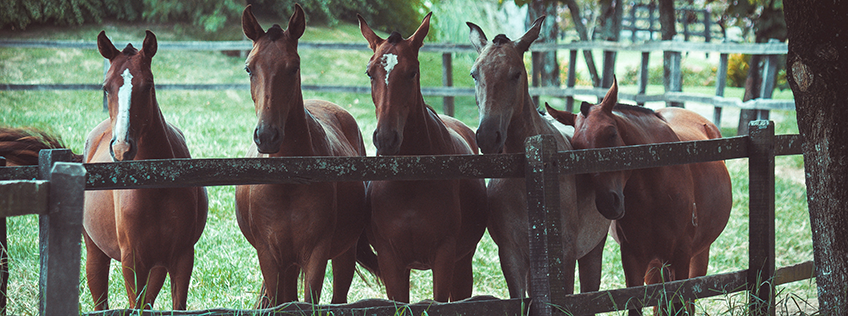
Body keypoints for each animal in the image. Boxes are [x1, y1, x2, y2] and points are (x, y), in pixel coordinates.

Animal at [82, 30, 209, 310]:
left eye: (148, 85)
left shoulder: (181, 257)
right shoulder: (133, 261)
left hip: (157, 266)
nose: (121, 148)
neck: (157, 184)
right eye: (105, 87)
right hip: (95, 254)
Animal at [234, 4, 370, 306]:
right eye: (249, 68)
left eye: (293, 67)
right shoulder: (270, 257)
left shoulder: (316, 255)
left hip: (343, 255)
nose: (267, 136)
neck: (288, 183)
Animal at [358, 12, 490, 304]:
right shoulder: (390, 259)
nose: (386, 138)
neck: (410, 181)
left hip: (462, 263)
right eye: (370, 72)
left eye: (412, 72)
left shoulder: (444, 255)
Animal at [464, 17, 608, 298]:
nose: (488, 137)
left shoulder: (565, 254)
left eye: (516, 74)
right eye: (474, 74)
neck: (531, 176)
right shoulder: (511, 255)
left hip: (592, 252)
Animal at [548, 78, 732, 314]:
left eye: (611, 133)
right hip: (656, 265)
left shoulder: (681, 257)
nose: (608, 203)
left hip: (698, 256)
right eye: (577, 147)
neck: (656, 193)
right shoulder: (634, 259)